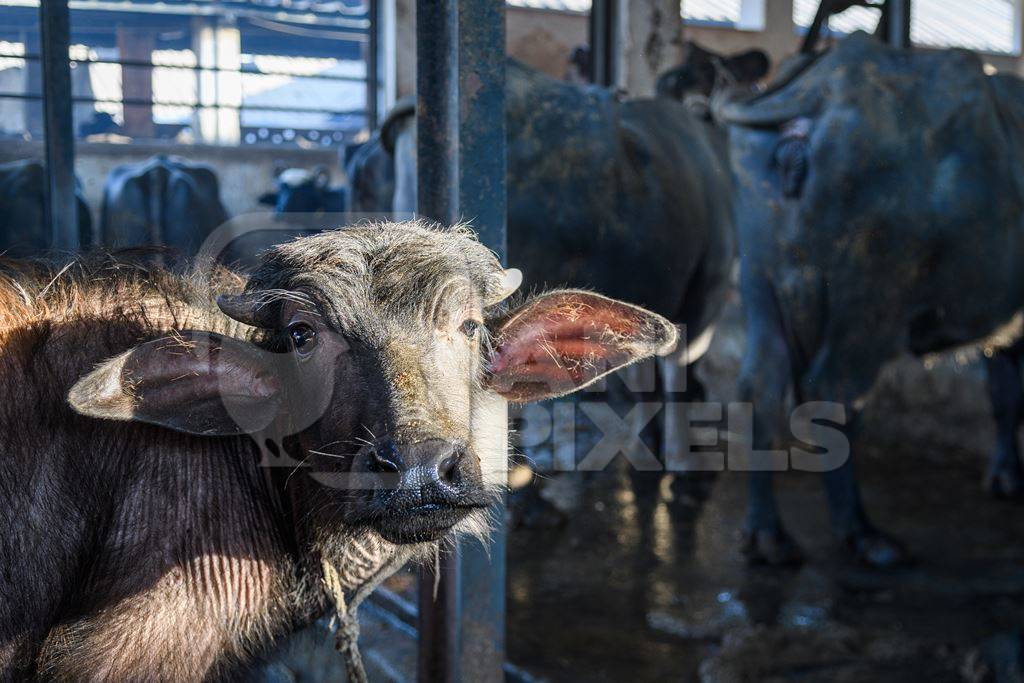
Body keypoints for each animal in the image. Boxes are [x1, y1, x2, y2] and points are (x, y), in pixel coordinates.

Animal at [720, 30, 1024, 565]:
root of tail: (819, 91)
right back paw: (862, 533)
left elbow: (1004, 392)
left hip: (763, 285)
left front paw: (1005, 475)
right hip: (869, 302)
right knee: (833, 392)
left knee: (760, 390)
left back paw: (768, 536)